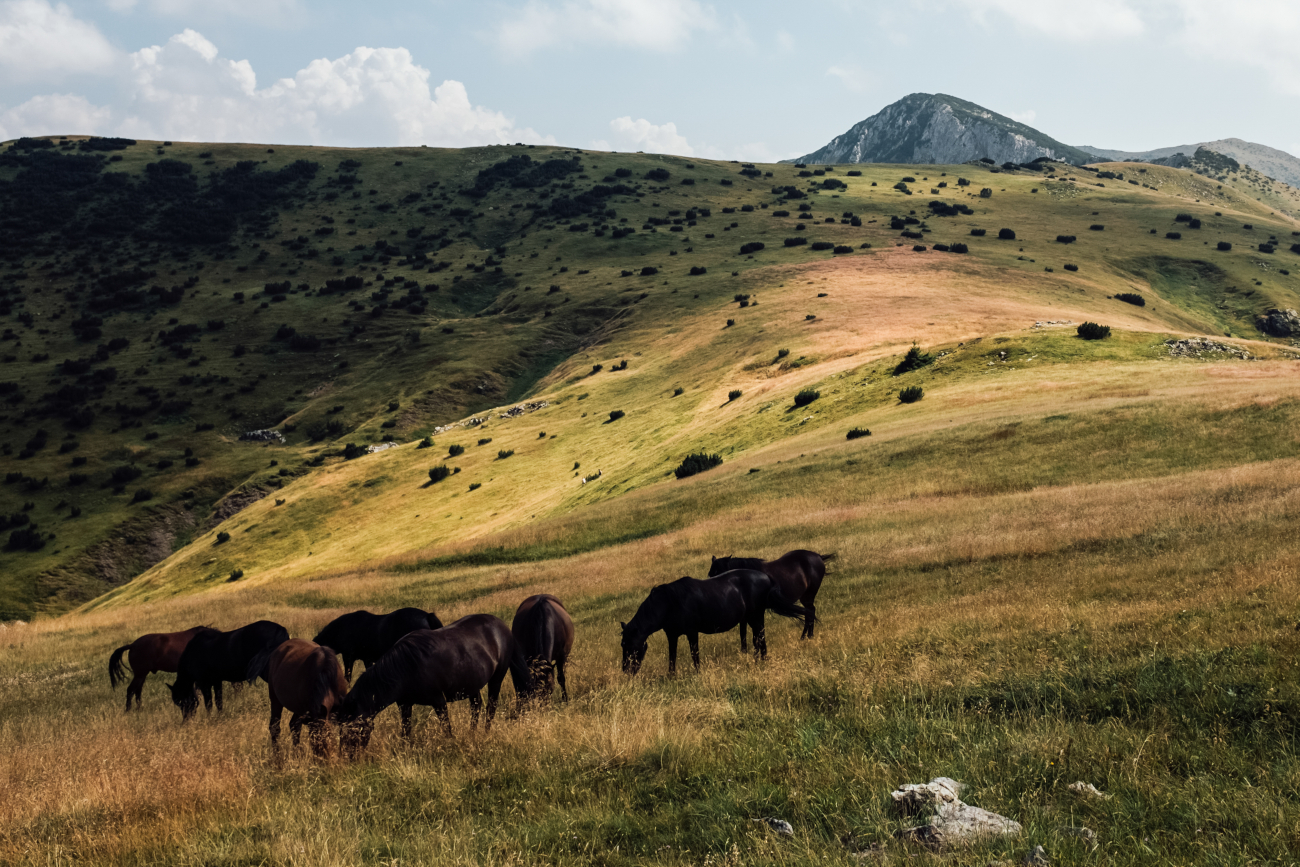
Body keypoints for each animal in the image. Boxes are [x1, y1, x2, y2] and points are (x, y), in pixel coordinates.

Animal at [334, 614, 531, 753]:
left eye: (352, 727)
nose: (347, 756)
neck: (406, 668)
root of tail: (502, 626)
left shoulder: (438, 701)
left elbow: (446, 727)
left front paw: (450, 745)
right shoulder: (404, 704)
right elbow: (405, 730)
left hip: (497, 678)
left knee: (491, 707)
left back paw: (485, 732)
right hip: (472, 684)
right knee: (476, 707)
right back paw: (472, 732)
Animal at [620, 569, 808, 676]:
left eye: (630, 646)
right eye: (623, 645)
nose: (626, 670)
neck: (669, 602)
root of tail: (766, 576)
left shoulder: (691, 632)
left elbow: (694, 654)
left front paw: (698, 674)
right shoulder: (672, 635)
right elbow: (672, 657)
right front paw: (671, 677)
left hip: (756, 615)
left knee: (759, 638)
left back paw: (761, 661)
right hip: (752, 617)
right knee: (758, 638)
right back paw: (759, 661)